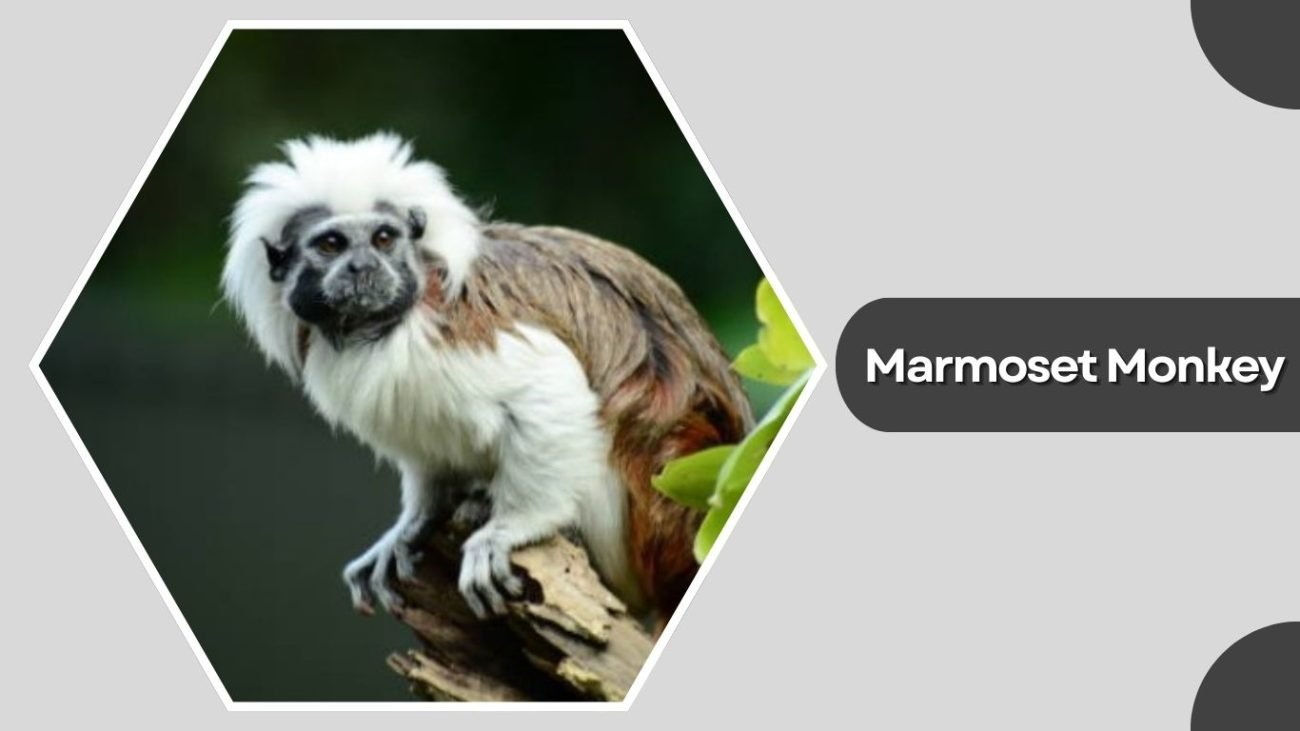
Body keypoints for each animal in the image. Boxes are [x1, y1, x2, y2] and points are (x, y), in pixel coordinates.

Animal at [222, 132, 753, 622]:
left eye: (383, 239)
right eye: (331, 245)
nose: (362, 267)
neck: (384, 327)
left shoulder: (461, 329)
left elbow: (549, 383)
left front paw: (513, 527)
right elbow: (427, 454)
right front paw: (413, 523)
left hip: (654, 506)